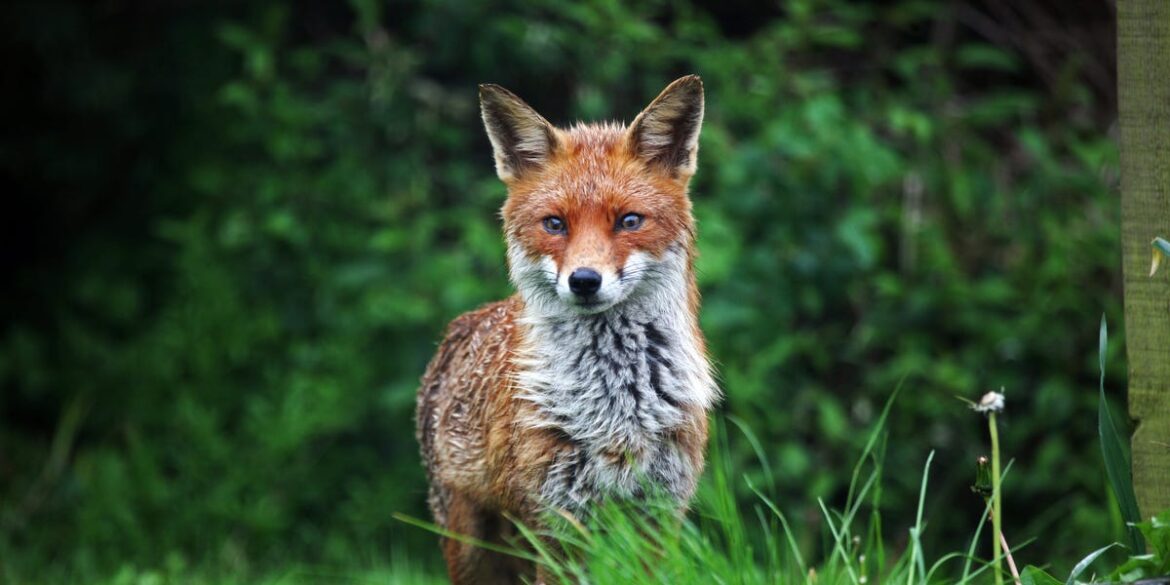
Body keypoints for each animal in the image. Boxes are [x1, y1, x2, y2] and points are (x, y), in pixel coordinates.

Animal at [416, 75, 718, 584]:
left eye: (629, 220)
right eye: (555, 224)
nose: (584, 280)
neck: (616, 408)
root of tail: (459, 329)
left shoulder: (659, 514)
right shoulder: (557, 521)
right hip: (473, 547)